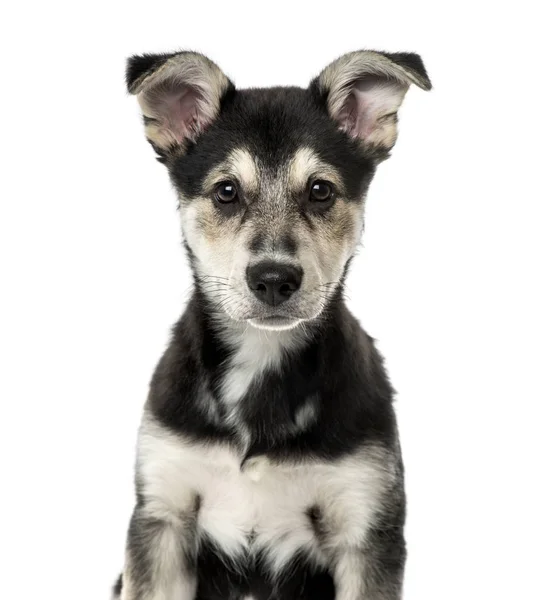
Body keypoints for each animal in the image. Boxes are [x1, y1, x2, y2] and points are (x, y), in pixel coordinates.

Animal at [115, 48, 432, 600]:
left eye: (320, 191)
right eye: (226, 191)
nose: (274, 279)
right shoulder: (162, 517)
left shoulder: (365, 525)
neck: (261, 356)